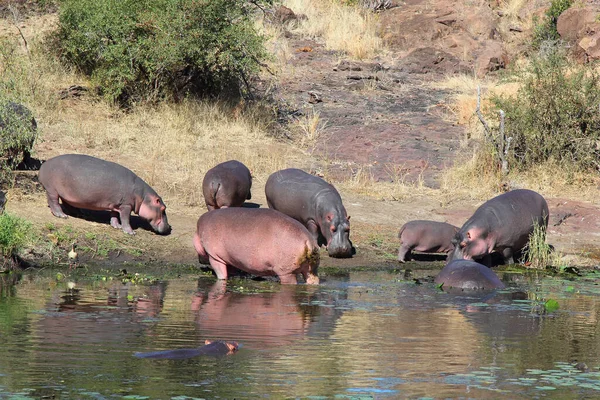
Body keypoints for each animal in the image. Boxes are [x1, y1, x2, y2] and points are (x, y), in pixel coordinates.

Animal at [37, 153, 170, 234]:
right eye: (163, 208)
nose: (169, 227)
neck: (143, 197)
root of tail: (44, 164)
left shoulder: (116, 204)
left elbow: (114, 215)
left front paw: (116, 226)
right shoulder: (126, 205)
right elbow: (125, 219)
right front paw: (130, 232)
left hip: (67, 194)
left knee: (67, 203)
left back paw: (80, 213)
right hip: (52, 189)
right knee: (53, 202)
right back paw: (62, 215)